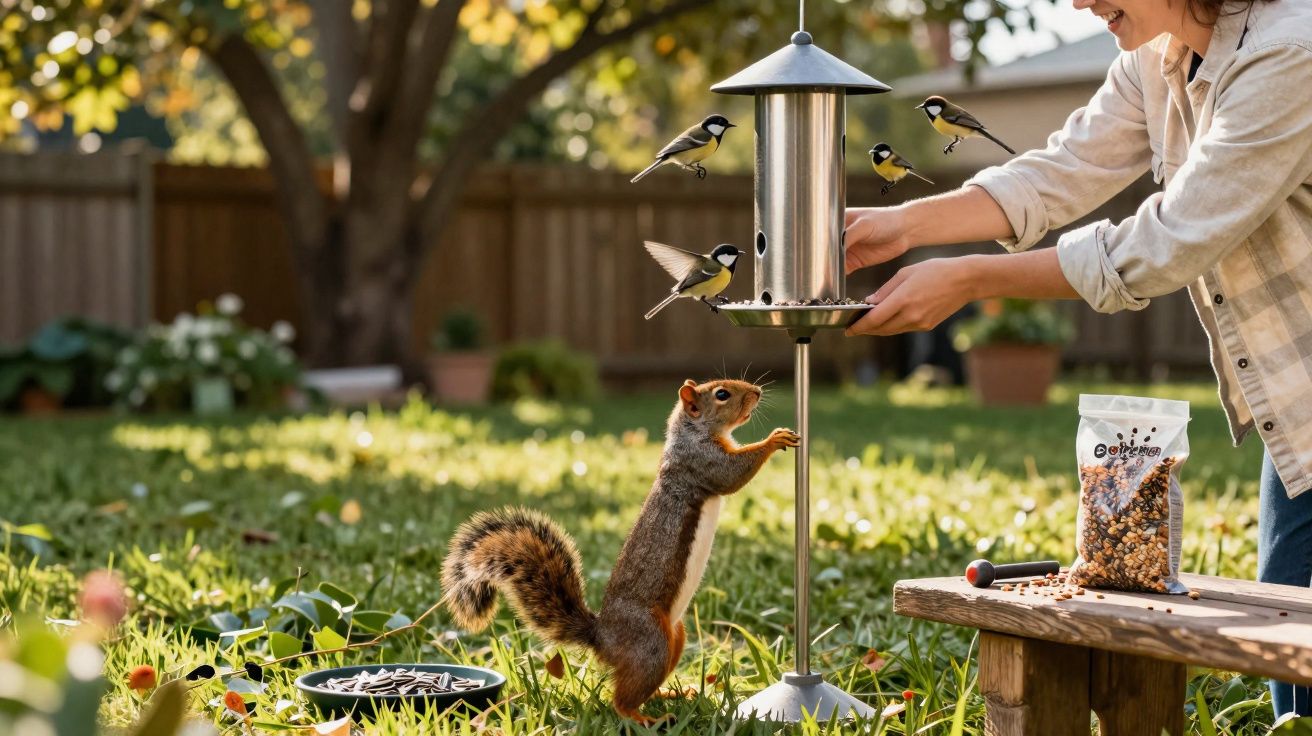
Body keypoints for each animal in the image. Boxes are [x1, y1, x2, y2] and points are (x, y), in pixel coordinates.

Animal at [441, 378, 799, 724]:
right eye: (722, 394)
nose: (757, 392)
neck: (690, 433)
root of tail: (604, 639)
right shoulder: (701, 461)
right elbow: (733, 473)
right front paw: (774, 439)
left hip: (675, 637)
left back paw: (670, 694)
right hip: (651, 642)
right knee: (621, 699)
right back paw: (643, 718)